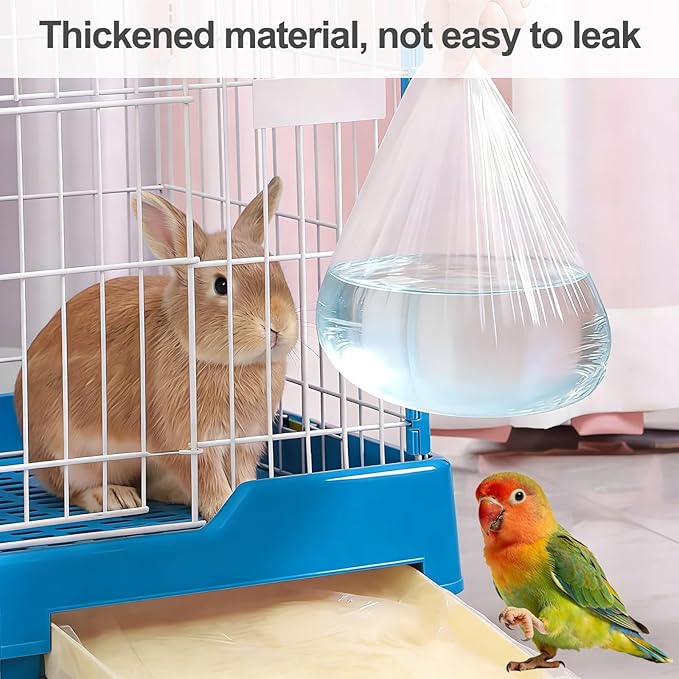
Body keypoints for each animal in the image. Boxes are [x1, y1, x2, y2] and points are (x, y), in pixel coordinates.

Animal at [14, 177, 299, 520]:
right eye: (221, 285)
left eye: (278, 271)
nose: (278, 327)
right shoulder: (186, 441)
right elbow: (207, 478)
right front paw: (221, 506)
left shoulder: (244, 442)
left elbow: (242, 477)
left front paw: (245, 496)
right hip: (72, 458)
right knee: (71, 490)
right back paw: (115, 497)